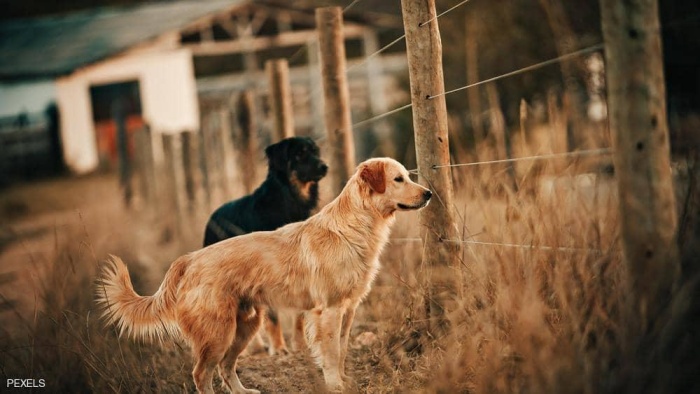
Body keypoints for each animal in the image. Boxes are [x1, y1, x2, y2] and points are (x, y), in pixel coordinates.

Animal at [95, 158, 430, 394]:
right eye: (398, 179)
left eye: (408, 175)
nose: (428, 193)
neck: (354, 226)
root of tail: (189, 260)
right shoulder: (329, 311)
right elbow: (332, 353)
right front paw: (335, 384)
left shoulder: (348, 310)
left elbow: (343, 350)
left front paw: (344, 380)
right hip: (219, 333)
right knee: (202, 374)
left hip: (245, 326)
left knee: (226, 368)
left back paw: (244, 392)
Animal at [202, 136, 328, 354]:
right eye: (300, 154)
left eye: (315, 151)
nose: (324, 166)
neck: (289, 201)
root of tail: (212, 217)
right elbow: (273, 316)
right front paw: (278, 348)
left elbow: (299, 315)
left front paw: (300, 344)